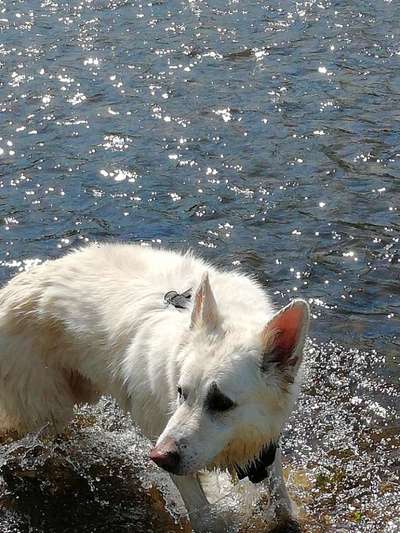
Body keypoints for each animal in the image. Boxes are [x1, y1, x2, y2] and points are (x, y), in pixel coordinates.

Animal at [0, 243, 310, 528]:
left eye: (222, 402)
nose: (159, 457)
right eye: (181, 392)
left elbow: (281, 501)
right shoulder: (169, 447)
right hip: (46, 409)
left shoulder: (268, 443)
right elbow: (205, 519)